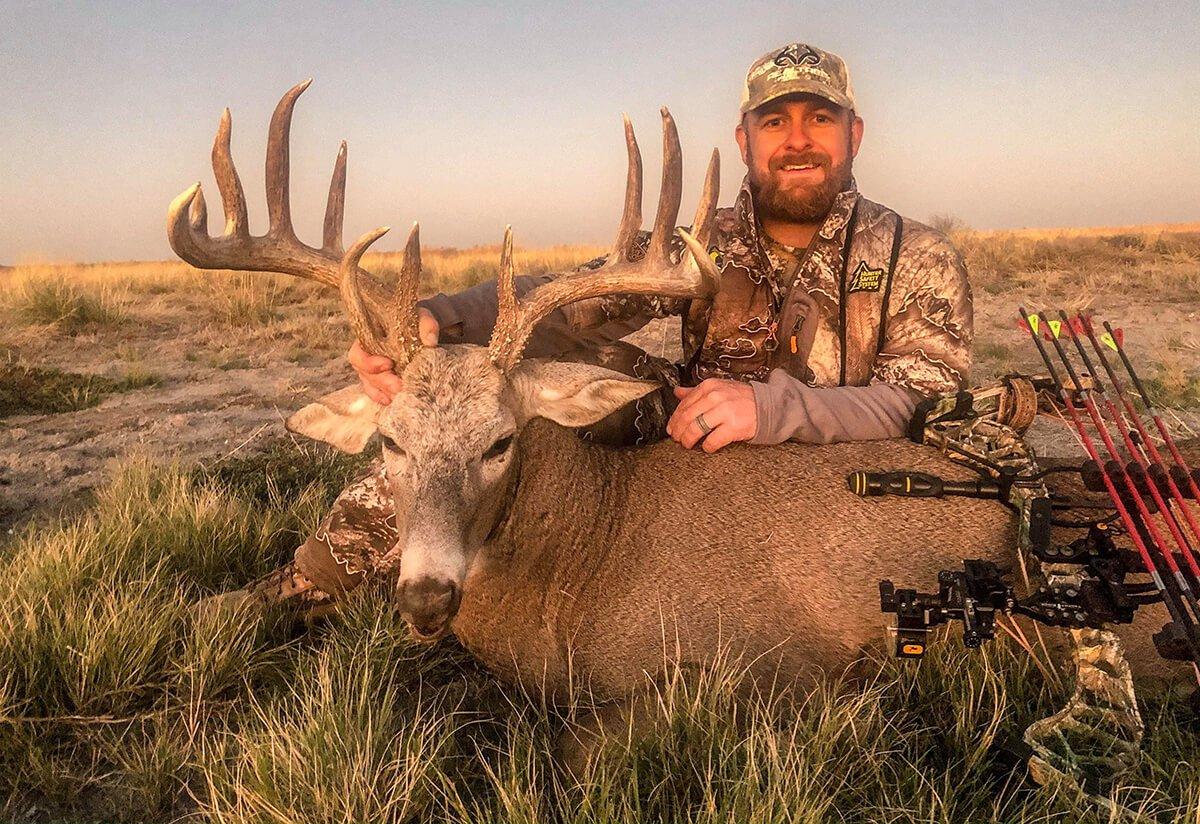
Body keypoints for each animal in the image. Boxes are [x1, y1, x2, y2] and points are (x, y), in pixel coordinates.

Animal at [167, 82, 1187, 765]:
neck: (587, 561)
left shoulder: (758, 675)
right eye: (389, 441)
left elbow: (575, 752)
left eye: (501, 439)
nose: (423, 598)